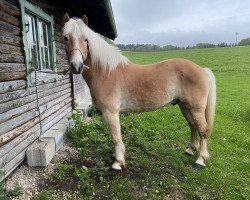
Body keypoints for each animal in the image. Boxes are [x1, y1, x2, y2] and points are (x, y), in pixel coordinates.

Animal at [61, 13, 216, 170]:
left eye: (85, 39)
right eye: (65, 38)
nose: (76, 66)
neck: (106, 72)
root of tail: (202, 69)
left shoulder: (110, 112)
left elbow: (115, 137)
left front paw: (118, 162)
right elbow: (117, 137)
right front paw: (119, 155)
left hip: (196, 108)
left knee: (203, 129)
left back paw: (200, 160)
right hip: (184, 105)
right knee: (193, 126)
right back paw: (190, 150)